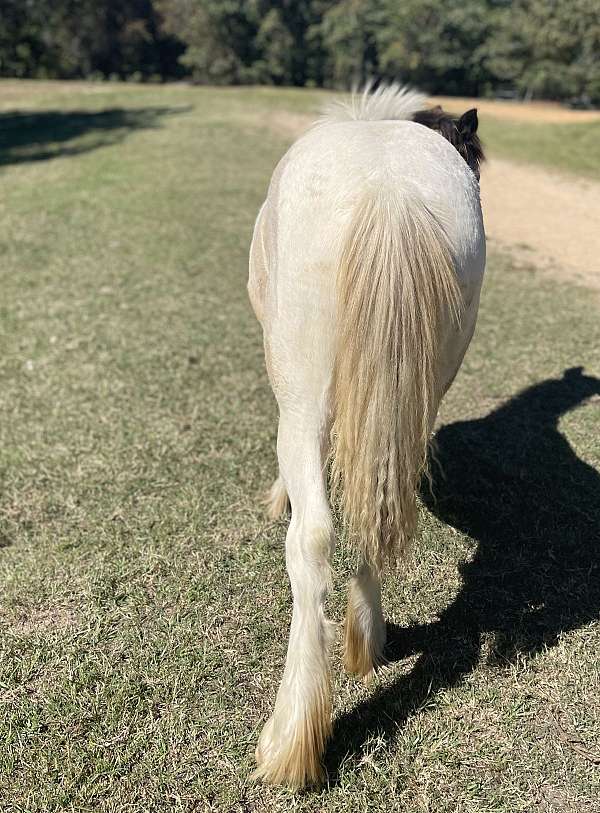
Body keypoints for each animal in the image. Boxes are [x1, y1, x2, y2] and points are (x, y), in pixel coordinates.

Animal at [248, 82, 488, 788]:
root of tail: (389, 191)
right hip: (417, 392)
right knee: (379, 507)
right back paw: (366, 640)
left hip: (301, 394)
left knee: (314, 537)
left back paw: (291, 741)